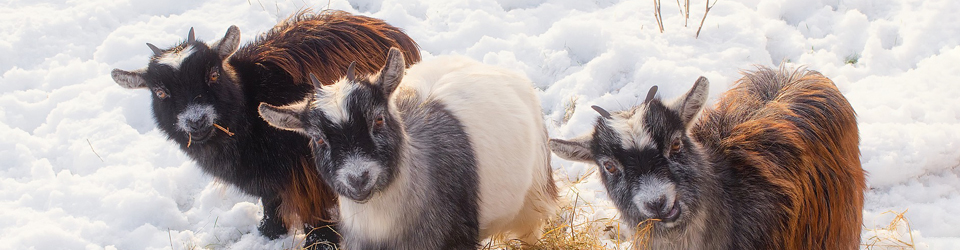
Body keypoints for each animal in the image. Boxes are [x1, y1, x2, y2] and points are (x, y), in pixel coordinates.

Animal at [109, 10, 420, 248]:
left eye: (213, 74)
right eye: (160, 92)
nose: (196, 121)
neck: (249, 109)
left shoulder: (309, 173)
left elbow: (315, 214)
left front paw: (320, 243)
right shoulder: (270, 177)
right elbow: (270, 200)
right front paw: (270, 231)